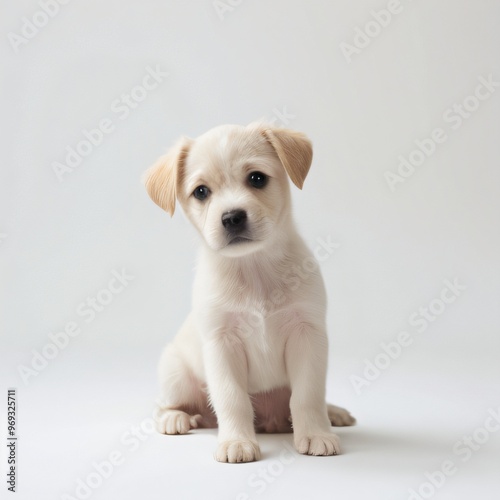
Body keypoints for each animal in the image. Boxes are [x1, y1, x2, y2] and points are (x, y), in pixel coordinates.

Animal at [143, 123, 356, 462]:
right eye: (201, 191)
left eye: (257, 178)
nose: (232, 217)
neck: (253, 269)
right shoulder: (222, 344)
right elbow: (233, 399)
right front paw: (236, 442)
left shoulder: (307, 335)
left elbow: (308, 395)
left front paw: (316, 434)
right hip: (175, 373)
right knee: (164, 405)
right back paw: (175, 418)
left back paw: (332, 413)